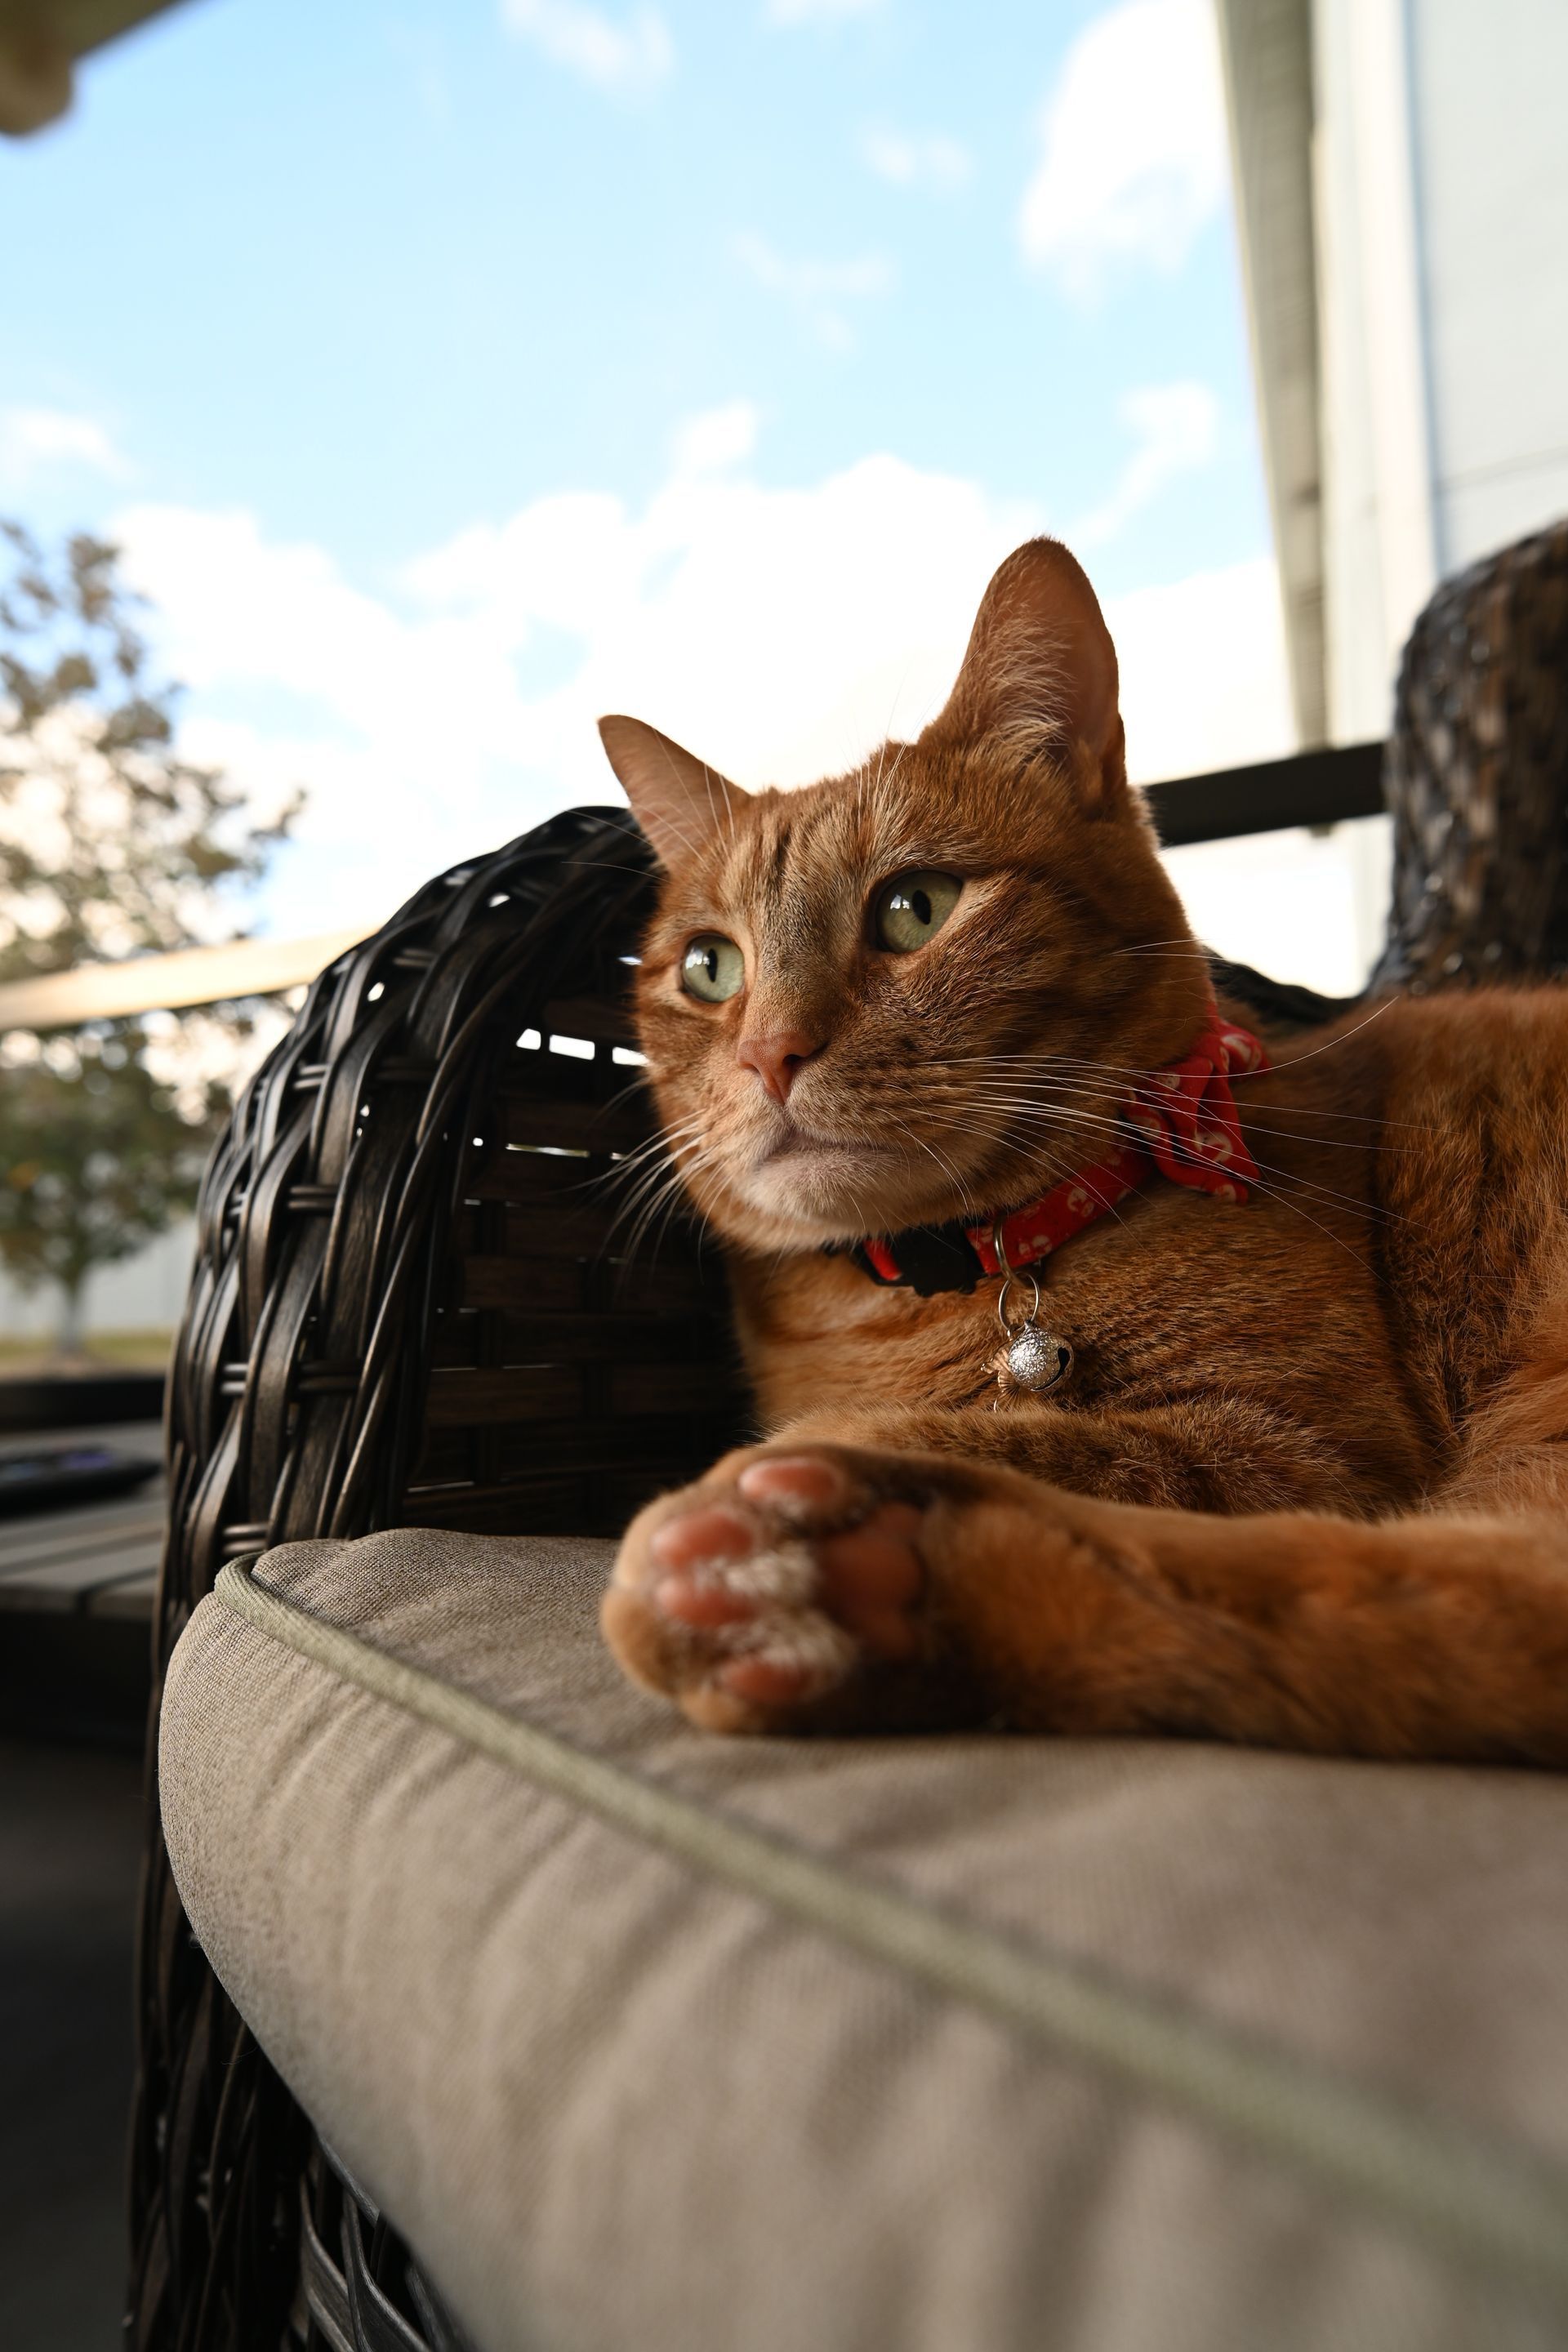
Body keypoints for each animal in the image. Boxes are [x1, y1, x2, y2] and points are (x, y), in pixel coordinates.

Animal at [592, 541, 1568, 1759]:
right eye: (710, 968)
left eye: (916, 908)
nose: (771, 1052)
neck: (938, 1290)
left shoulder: (1302, 1443)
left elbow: (1065, 1444)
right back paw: (837, 1588)